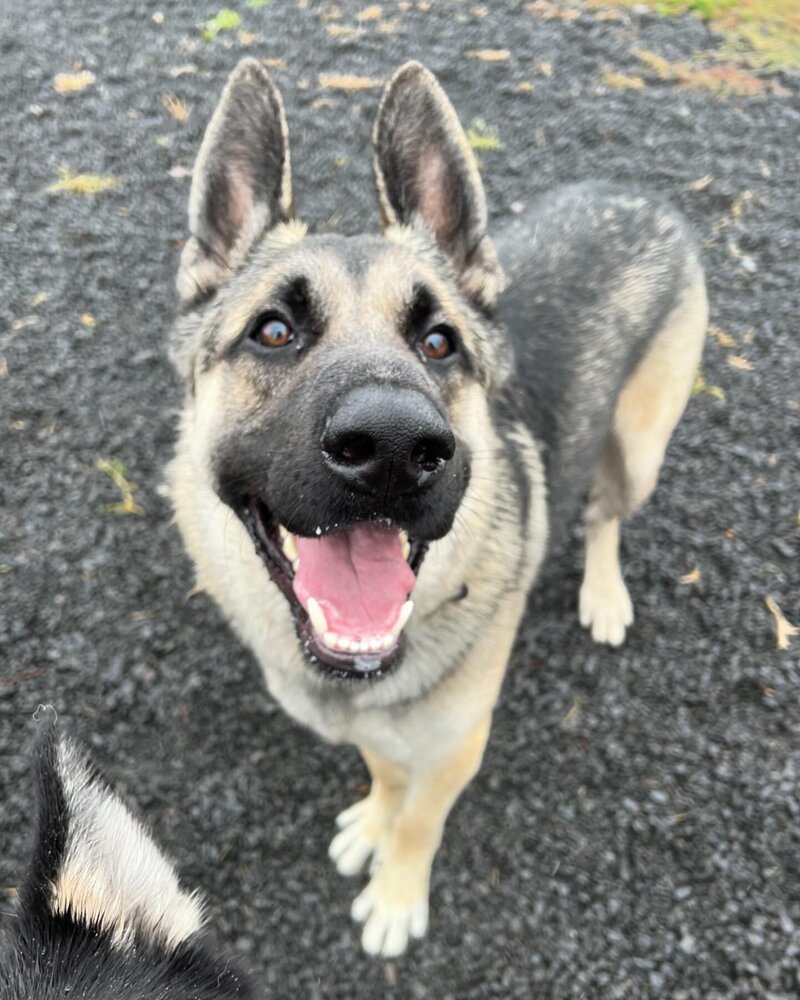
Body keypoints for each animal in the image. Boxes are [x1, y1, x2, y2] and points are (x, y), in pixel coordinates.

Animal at [167, 58, 708, 956]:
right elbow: (388, 774)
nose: (392, 446)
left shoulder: (457, 748)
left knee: (606, 515)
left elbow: (423, 819)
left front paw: (396, 893)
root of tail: (642, 196)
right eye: (272, 331)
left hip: (638, 448)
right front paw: (373, 824)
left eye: (438, 342)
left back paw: (603, 592)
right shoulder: (384, 731)